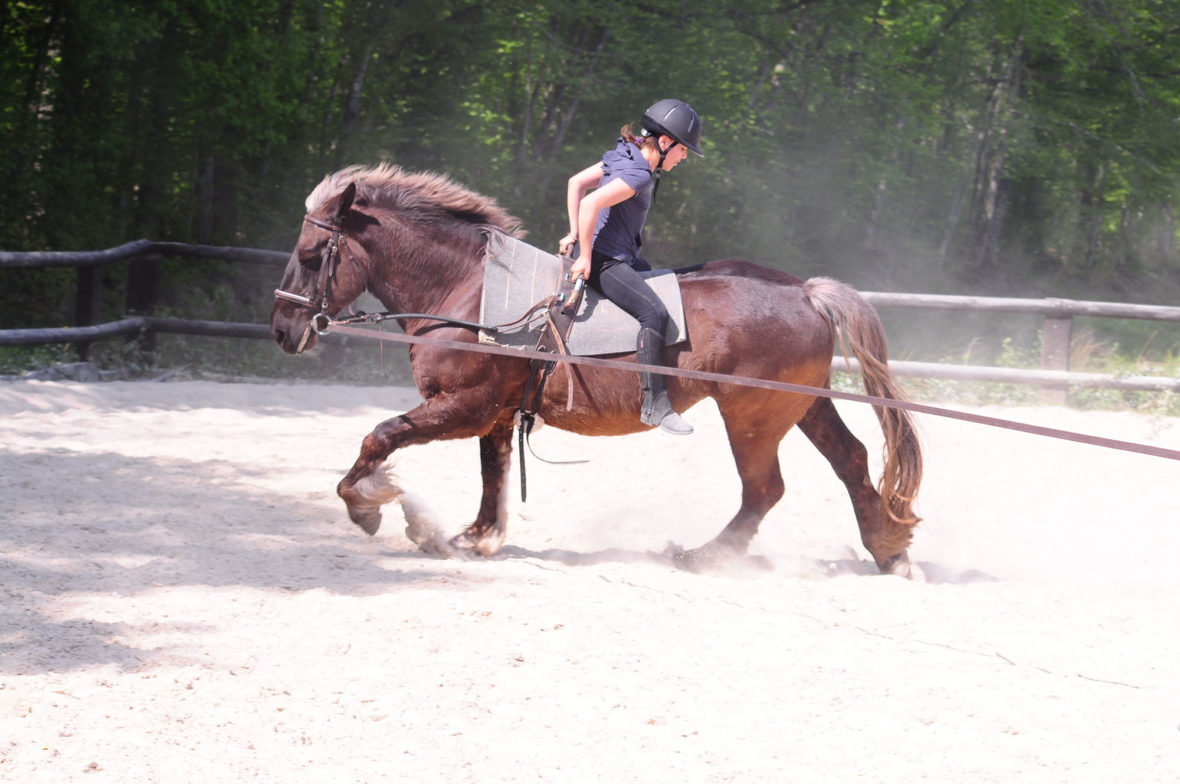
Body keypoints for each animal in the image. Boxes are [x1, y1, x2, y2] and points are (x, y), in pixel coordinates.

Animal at [270, 163, 922, 575]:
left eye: (311, 256)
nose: (281, 330)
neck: (470, 294)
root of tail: (804, 292)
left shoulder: (465, 406)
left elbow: (378, 436)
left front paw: (370, 504)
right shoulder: (495, 414)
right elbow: (492, 475)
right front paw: (474, 538)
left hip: (752, 416)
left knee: (766, 489)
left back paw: (703, 557)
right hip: (800, 403)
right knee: (850, 461)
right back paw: (888, 549)